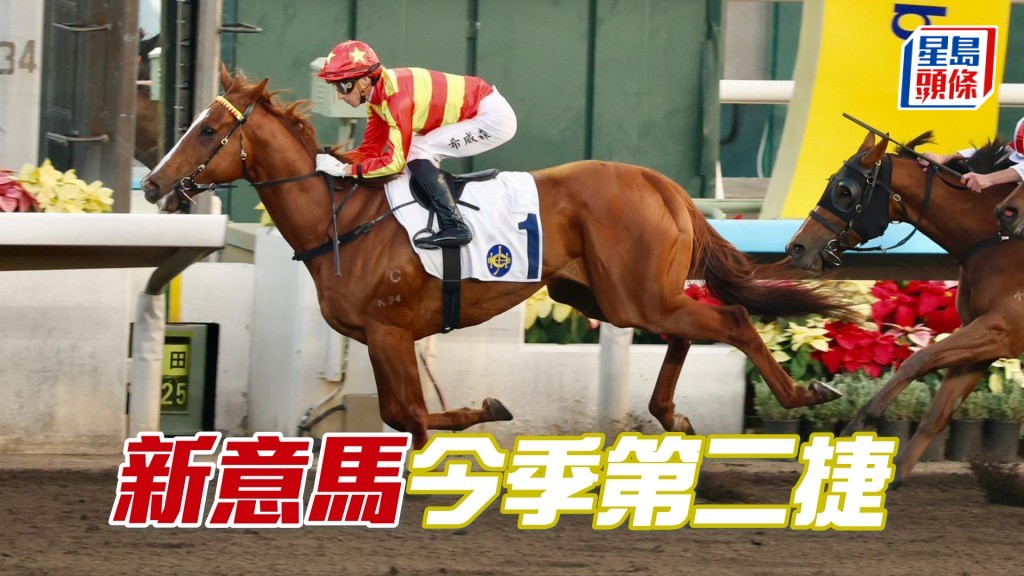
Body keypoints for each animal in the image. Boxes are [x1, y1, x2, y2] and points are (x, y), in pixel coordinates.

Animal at [140, 68, 854, 449]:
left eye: (208, 130)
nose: (151, 184)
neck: (341, 221)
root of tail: (660, 182)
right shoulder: (380, 337)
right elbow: (402, 413)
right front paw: (479, 415)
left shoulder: (389, 330)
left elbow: (408, 413)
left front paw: (474, 424)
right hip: (603, 295)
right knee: (687, 328)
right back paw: (670, 411)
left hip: (632, 293)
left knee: (728, 321)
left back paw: (800, 392)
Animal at [785, 131, 1023, 487]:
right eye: (832, 182)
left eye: (845, 191)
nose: (797, 247)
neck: (1000, 245)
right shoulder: (986, 338)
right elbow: (937, 413)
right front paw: (893, 475)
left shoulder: (1001, 328)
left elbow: (917, 360)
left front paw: (860, 421)